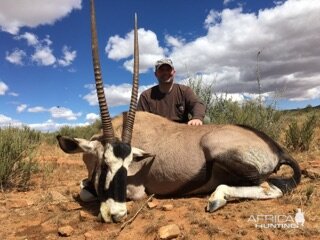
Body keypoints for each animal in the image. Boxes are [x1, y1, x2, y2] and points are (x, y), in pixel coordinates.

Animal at [57, 0, 300, 223]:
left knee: (271, 187)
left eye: (128, 166)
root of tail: (275, 147)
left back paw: (216, 198)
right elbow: (83, 186)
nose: (117, 214)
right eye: (104, 164)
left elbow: (87, 192)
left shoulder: (136, 189)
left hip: (217, 148)